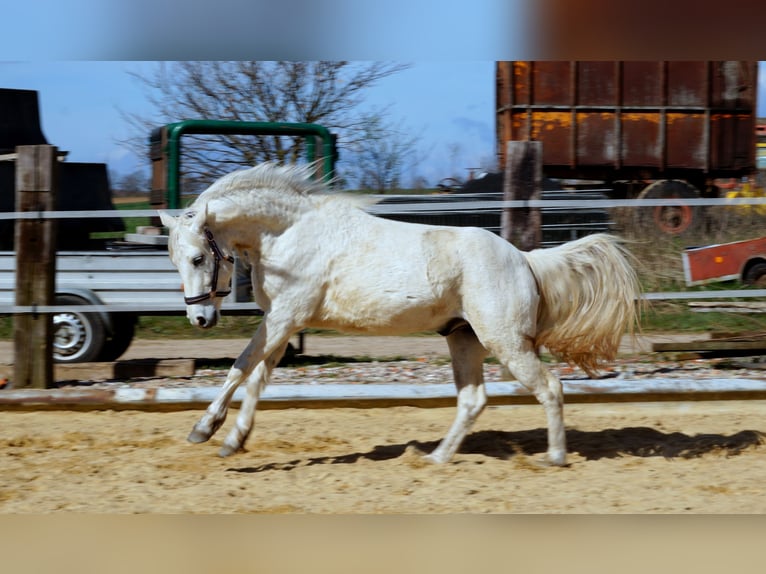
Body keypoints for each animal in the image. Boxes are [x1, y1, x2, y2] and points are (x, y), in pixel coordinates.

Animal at [159, 162, 640, 465]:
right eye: (175, 261)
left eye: (199, 258)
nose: (200, 320)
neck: (289, 234)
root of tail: (524, 260)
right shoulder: (284, 322)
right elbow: (258, 379)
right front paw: (232, 440)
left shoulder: (285, 317)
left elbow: (241, 367)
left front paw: (205, 429)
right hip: (463, 338)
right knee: (473, 400)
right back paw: (437, 458)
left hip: (505, 342)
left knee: (550, 388)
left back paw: (554, 458)